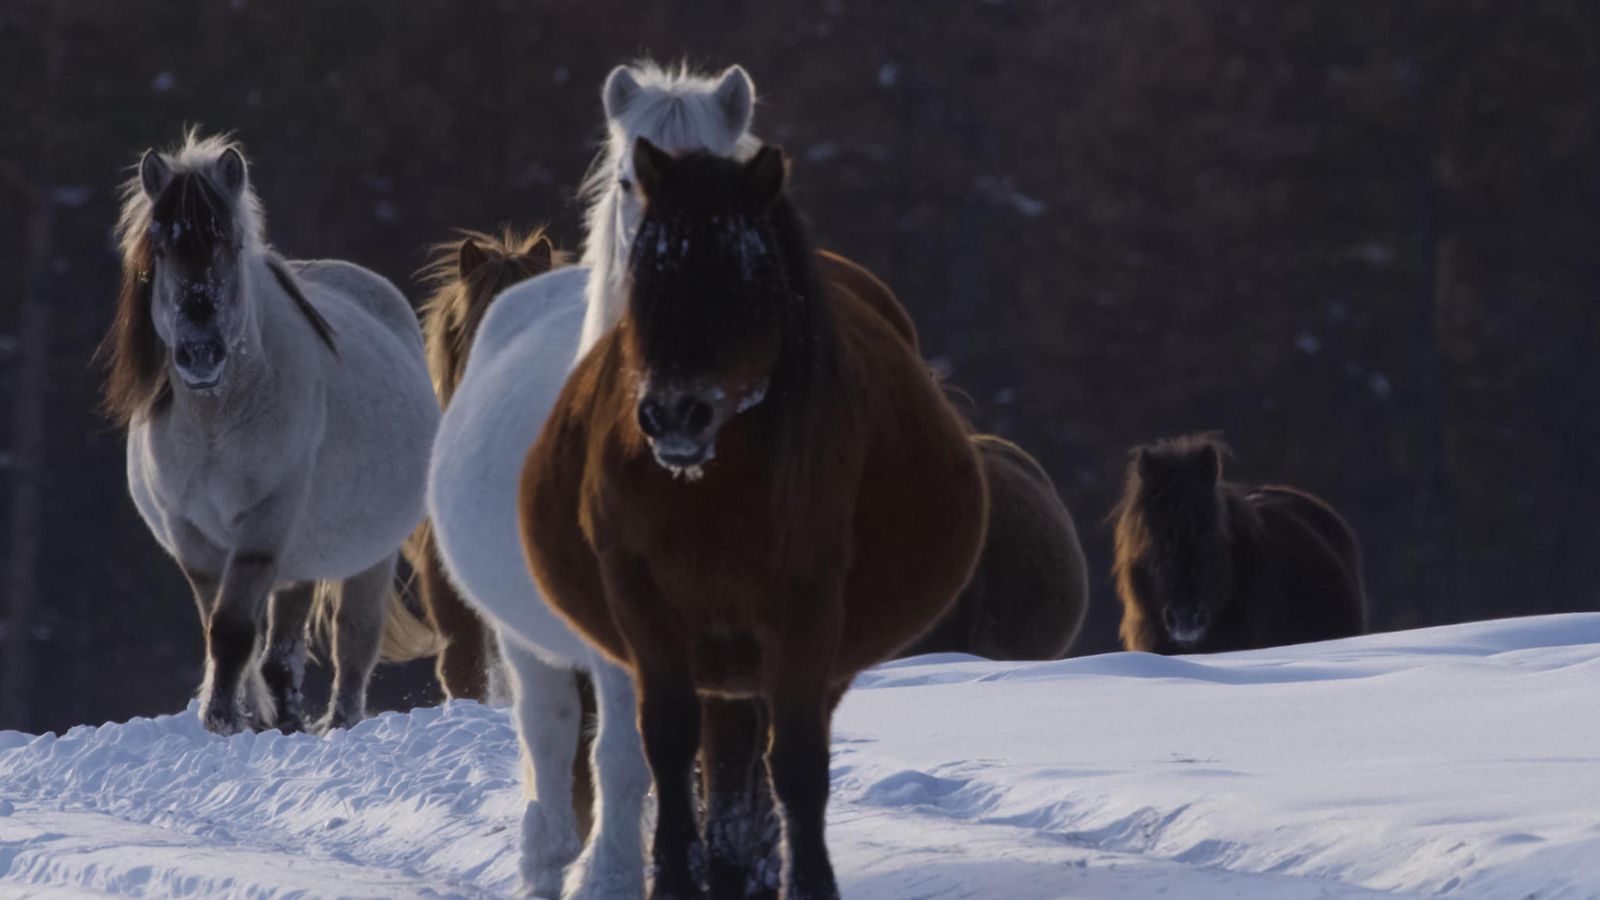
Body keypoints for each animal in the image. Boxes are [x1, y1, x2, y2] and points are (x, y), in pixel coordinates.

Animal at [428, 63, 758, 896]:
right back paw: (553, 863)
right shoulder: (625, 644)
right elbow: (625, 758)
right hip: (528, 645)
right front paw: (612, 874)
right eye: (628, 181)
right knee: (551, 750)